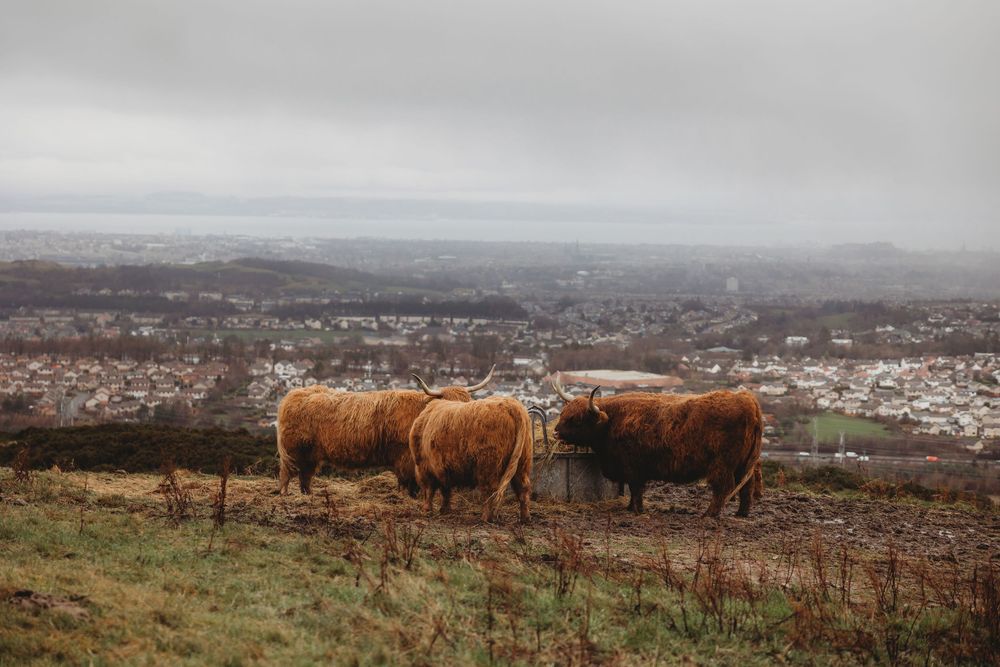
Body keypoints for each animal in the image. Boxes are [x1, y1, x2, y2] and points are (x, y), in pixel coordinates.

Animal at [275, 366, 495, 495]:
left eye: (468, 401)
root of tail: (294, 394)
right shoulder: (406, 458)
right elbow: (408, 482)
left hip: (310, 454)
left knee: (305, 475)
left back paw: (307, 494)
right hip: (294, 450)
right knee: (287, 472)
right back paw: (286, 494)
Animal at [409, 390, 534, 523]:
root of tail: (511, 405)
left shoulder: (424, 466)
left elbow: (429, 490)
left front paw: (427, 510)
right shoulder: (444, 468)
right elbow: (445, 490)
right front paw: (445, 510)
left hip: (488, 464)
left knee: (489, 489)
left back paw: (486, 518)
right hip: (522, 461)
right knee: (523, 487)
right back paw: (525, 517)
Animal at [551, 375, 763, 517]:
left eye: (577, 420)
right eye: (563, 413)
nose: (555, 432)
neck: (612, 421)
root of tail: (746, 398)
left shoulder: (633, 468)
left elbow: (636, 489)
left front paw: (637, 510)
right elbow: (634, 490)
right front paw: (630, 507)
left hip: (722, 465)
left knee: (722, 488)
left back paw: (709, 515)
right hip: (743, 464)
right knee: (747, 486)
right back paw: (742, 513)